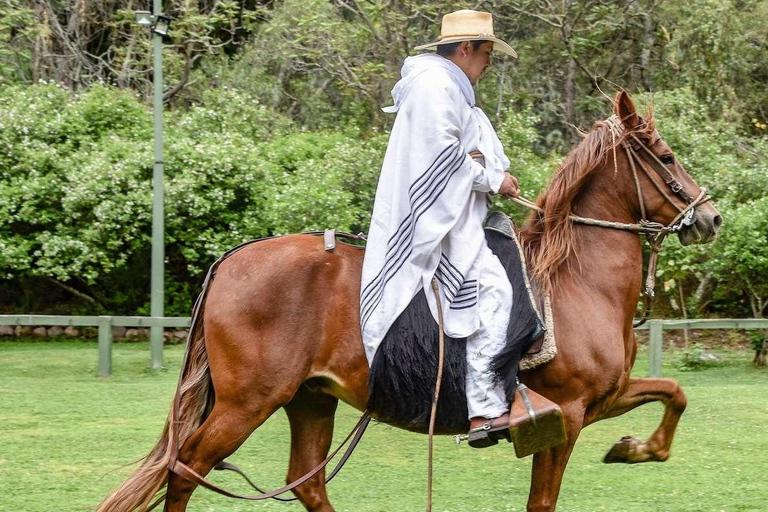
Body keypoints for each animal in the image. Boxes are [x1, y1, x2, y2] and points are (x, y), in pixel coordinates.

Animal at [97, 93, 720, 512]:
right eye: (666, 157)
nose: (711, 218)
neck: (577, 283)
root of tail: (228, 262)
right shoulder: (563, 415)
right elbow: (542, 502)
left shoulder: (601, 400)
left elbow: (675, 392)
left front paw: (635, 448)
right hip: (247, 403)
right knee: (186, 470)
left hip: (309, 399)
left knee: (307, 481)